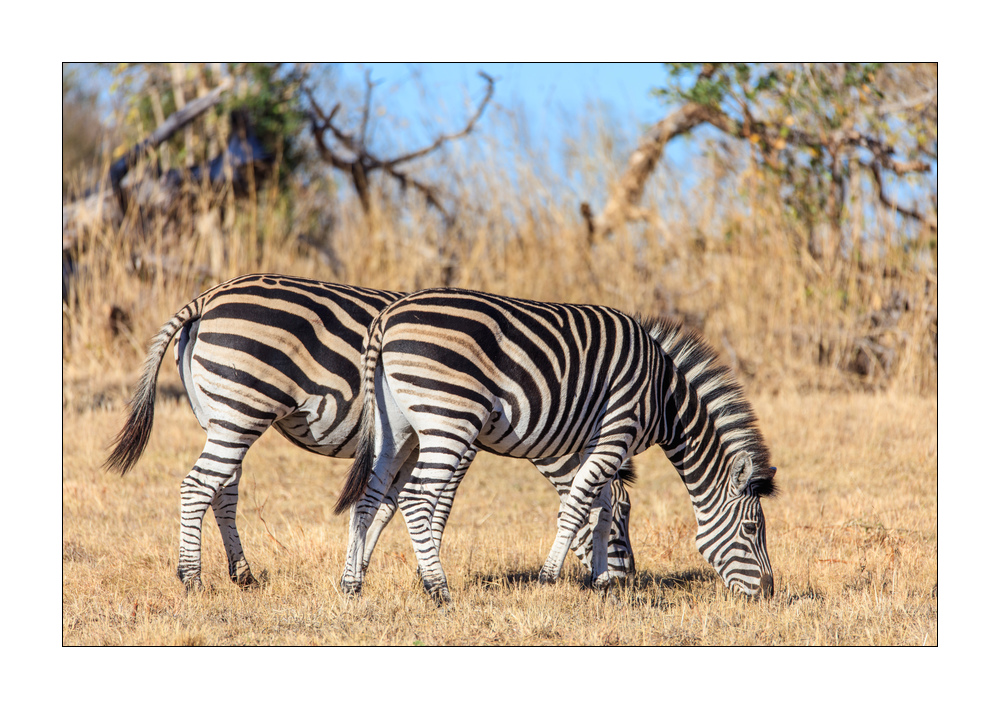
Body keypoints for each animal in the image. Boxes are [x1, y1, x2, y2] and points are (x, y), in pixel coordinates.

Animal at [104, 274, 635, 592]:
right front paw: (424, 573)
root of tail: (207, 297)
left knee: (222, 490)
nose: (627, 580)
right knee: (201, 486)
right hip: (242, 407)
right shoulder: (456, 438)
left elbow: (381, 505)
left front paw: (359, 570)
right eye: (622, 517)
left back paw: (243, 573)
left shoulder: (408, 441)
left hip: (220, 413)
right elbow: (432, 505)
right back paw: (192, 578)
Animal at [336, 287, 777, 604]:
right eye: (753, 528)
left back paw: (351, 584)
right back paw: (437, 588)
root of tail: (387, 316)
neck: (664, 397)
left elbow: (602, 508)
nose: (769, 592)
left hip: (396, 427)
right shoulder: (617, 430)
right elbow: (578, 506)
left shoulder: (597, 441)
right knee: (415, 499)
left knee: (370, 496)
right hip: (449, 418)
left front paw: (603, 582)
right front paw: (549, 577)